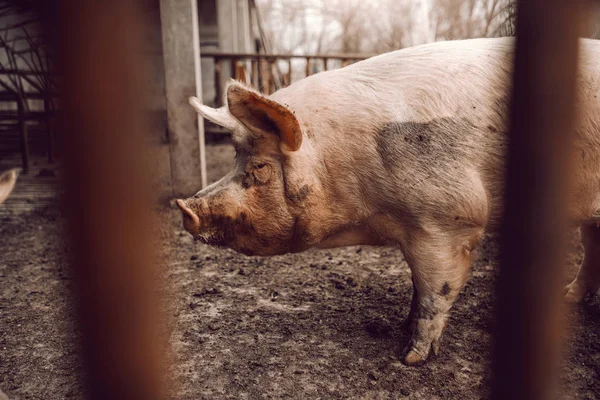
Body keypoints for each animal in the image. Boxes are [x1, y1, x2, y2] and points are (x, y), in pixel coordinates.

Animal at [175, 37, 600, 366]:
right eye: (235, 158)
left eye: (261, 168)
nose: (185, 210)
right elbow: (415, 285)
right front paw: (400, 327)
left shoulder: (450, 221)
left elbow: (436, 290)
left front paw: (410, 358)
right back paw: (567, 299)